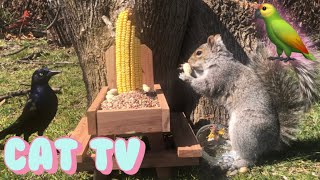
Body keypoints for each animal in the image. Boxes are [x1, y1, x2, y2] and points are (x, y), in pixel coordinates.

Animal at [179, 34, 316, 170]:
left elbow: (205, 86)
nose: (188, 61)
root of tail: (271, 142)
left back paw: (238, 164)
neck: (219, 60)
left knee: (251, 158)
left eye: (199, 53)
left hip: (244, 130)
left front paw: (186, 76)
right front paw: (186, 68)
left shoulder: (220, 75)